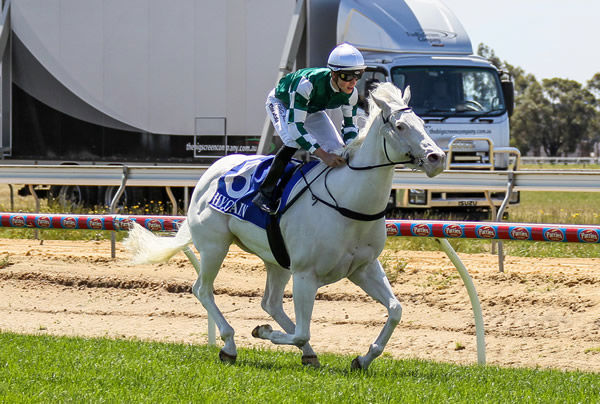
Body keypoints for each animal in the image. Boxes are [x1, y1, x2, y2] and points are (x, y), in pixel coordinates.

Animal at [126, 83, 446, 370]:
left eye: (422, 123)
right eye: (401, 126)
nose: (437, 158)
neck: (349, 203)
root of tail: (210, 172)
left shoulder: (363, 268)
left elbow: (395, 310)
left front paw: (364, 358)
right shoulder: (306, 274)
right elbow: (302, 331)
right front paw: (264, 331)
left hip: (276, 259)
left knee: (271, 303)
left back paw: (306, 352)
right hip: (214, 246)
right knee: (202, 289)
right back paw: (230, 345)